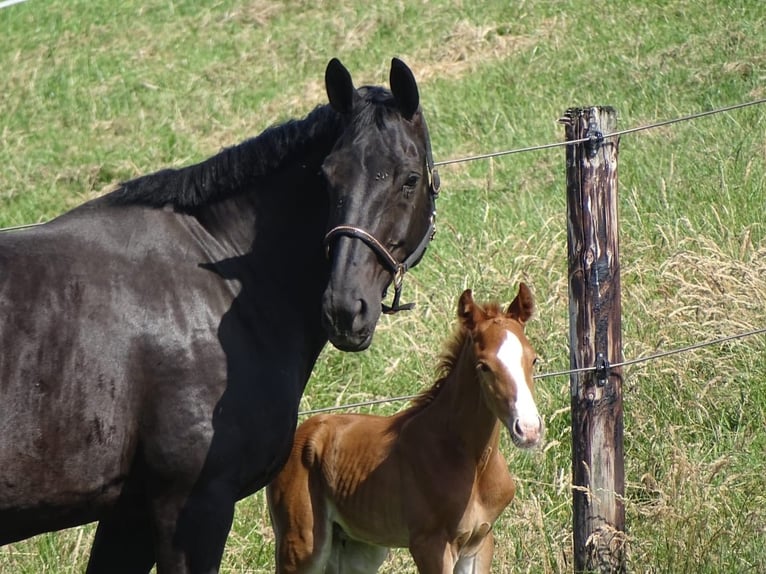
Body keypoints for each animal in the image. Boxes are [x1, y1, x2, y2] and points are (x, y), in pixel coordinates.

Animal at [270, 286, 544, 572]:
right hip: (302, 544)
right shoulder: (430, 545)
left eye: (534, 359)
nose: (528, 429)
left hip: (358, 547)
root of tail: (302, 434)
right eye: (484, 366)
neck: (471, 461)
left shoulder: (480, 542)